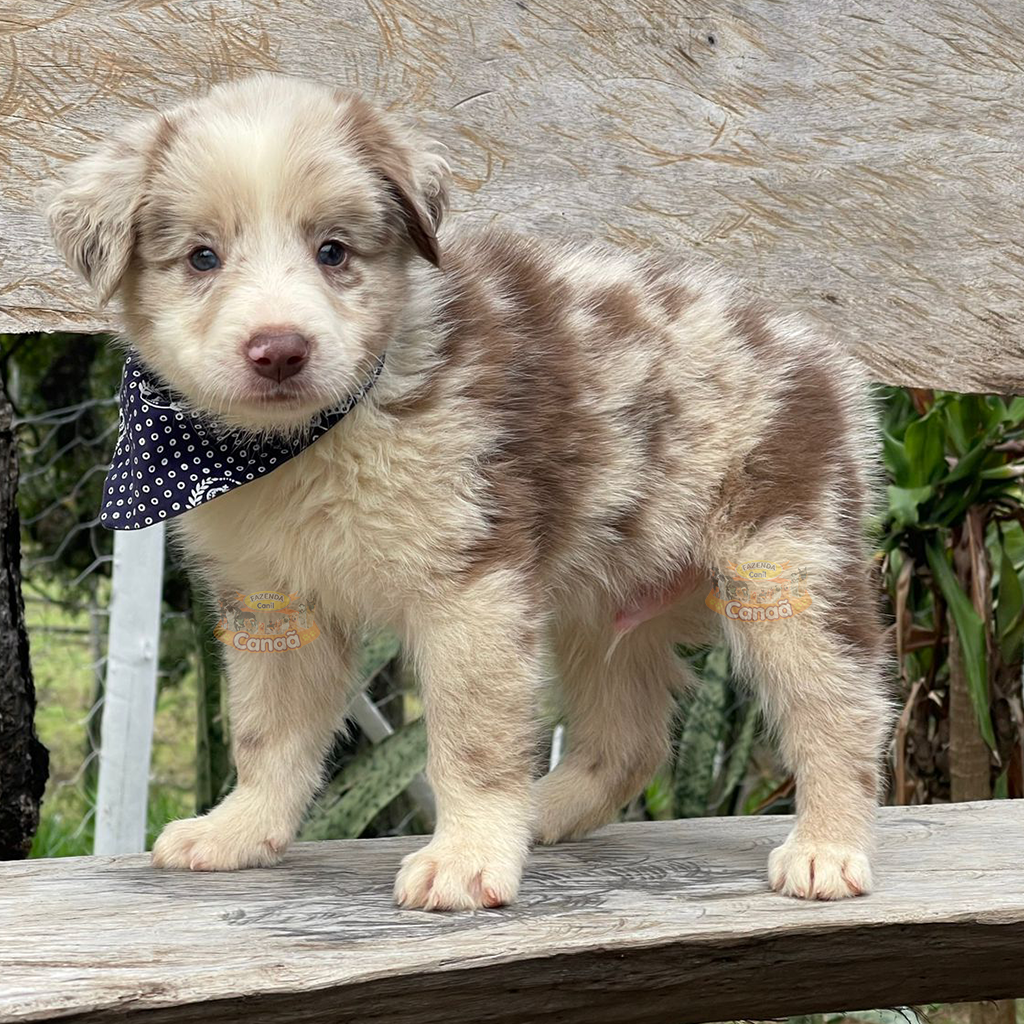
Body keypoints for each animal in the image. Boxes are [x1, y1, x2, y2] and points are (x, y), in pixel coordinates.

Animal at [48, 74, 888, 913]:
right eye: (202, 258)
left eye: (333, 252)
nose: (280, 350)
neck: (312, 439)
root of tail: (819, 351)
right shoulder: (273, 603)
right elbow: (266, 733)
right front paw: (239, 831)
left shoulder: (472, 585)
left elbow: (471, 741)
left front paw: (467, 857)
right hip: (602, 606)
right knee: (631, 738)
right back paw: (547, 811)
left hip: (790, 572)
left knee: (843, 712)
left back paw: (827, 849)